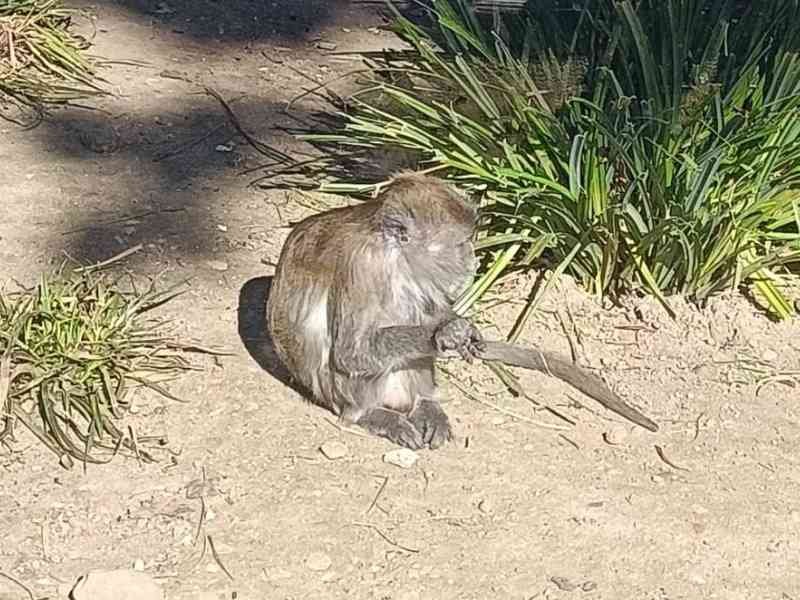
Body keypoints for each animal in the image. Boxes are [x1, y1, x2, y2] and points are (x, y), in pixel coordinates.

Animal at [266, 171, 658, 450]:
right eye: (460, 244)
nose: (473, 258)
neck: (392, 255)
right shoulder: (364, 266)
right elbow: (351, 352)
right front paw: (447, 332)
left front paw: (456, 327)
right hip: (339, 394)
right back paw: (374, 414)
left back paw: (425, 403)